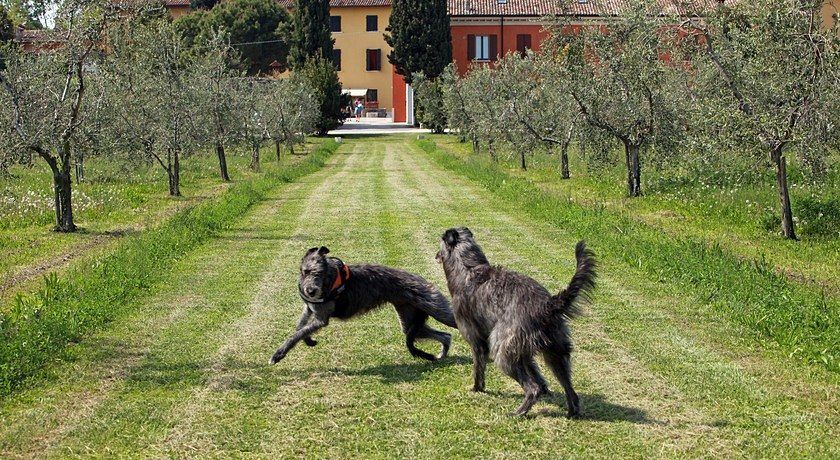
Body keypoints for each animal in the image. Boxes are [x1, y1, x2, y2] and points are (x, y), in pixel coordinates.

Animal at [270, 246, 456, 364]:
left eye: (321, 273)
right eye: (305, 271)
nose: (311, 291)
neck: (329, 280)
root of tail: (421, 278)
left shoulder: (321, 319)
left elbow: (296, 334)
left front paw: (278, 354)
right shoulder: (309, 309)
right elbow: (300, 327)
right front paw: (308, 340)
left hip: (438, 309)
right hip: (409, 320)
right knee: (446, 336)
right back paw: (441, 355)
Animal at [436, 226, 592, 416]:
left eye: (440, 241)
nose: (437, 255)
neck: (468, 268)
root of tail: (548, 305)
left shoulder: (477, 341)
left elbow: (478, 368)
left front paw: (477, 388)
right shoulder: (524, 352)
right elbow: (537, 373)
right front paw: (545, 388)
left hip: (503, 352)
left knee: (532, 388)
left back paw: (519, 412)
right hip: (555, 352)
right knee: (570, 389)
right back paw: (571, 412)